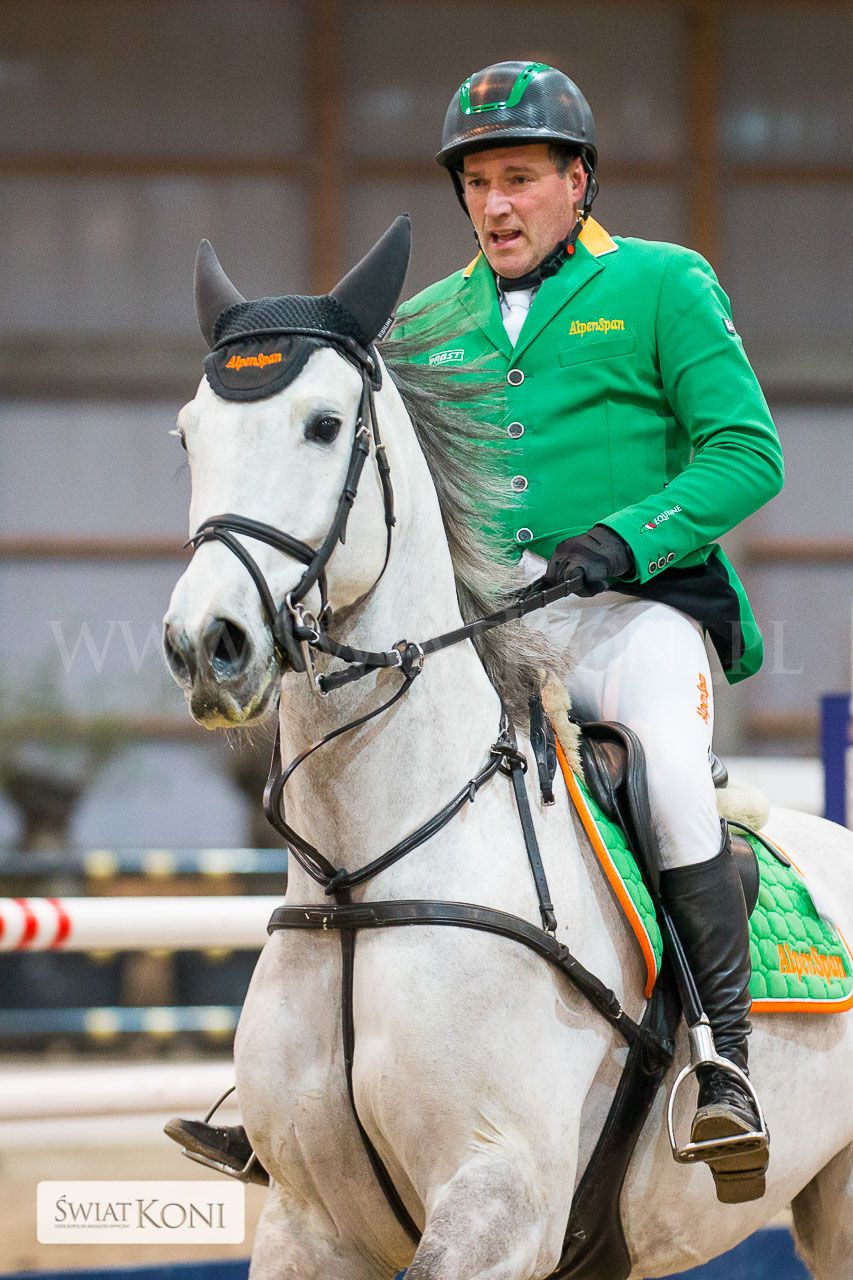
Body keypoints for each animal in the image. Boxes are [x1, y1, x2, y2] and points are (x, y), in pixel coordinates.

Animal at [162, 217, 853, 1279]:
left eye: (324, 425)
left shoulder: (497, 1203)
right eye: (189, 434)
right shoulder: (306, 1225)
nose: (208, 644)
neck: (362, 879)